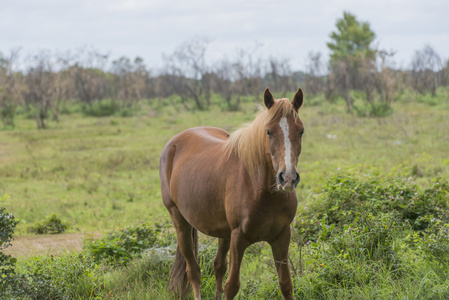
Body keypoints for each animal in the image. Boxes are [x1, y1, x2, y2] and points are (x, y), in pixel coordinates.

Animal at [158, 87, 304, 300]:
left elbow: (285, 284)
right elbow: (232, 285)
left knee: (218, 266)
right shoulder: (238, 238)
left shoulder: (282, 236)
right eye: (268, 131)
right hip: (180, 221)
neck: (260, 192)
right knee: (193, 271)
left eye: (301, 131)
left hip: (222, 232)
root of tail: (173, 144)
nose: (288, 178)